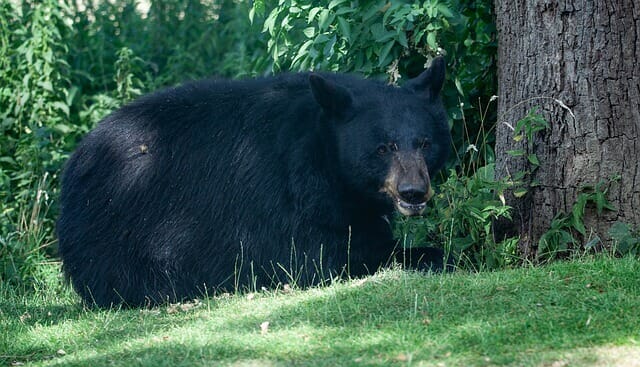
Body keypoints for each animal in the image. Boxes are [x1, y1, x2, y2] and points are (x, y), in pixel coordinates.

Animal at [57, 56, 452, 306]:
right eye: (383, 148)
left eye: (425, 143)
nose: (413, 193)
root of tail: (76, 160)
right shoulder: (283, 198)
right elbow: (321, 257)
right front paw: (431, 255)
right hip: (121, 225)